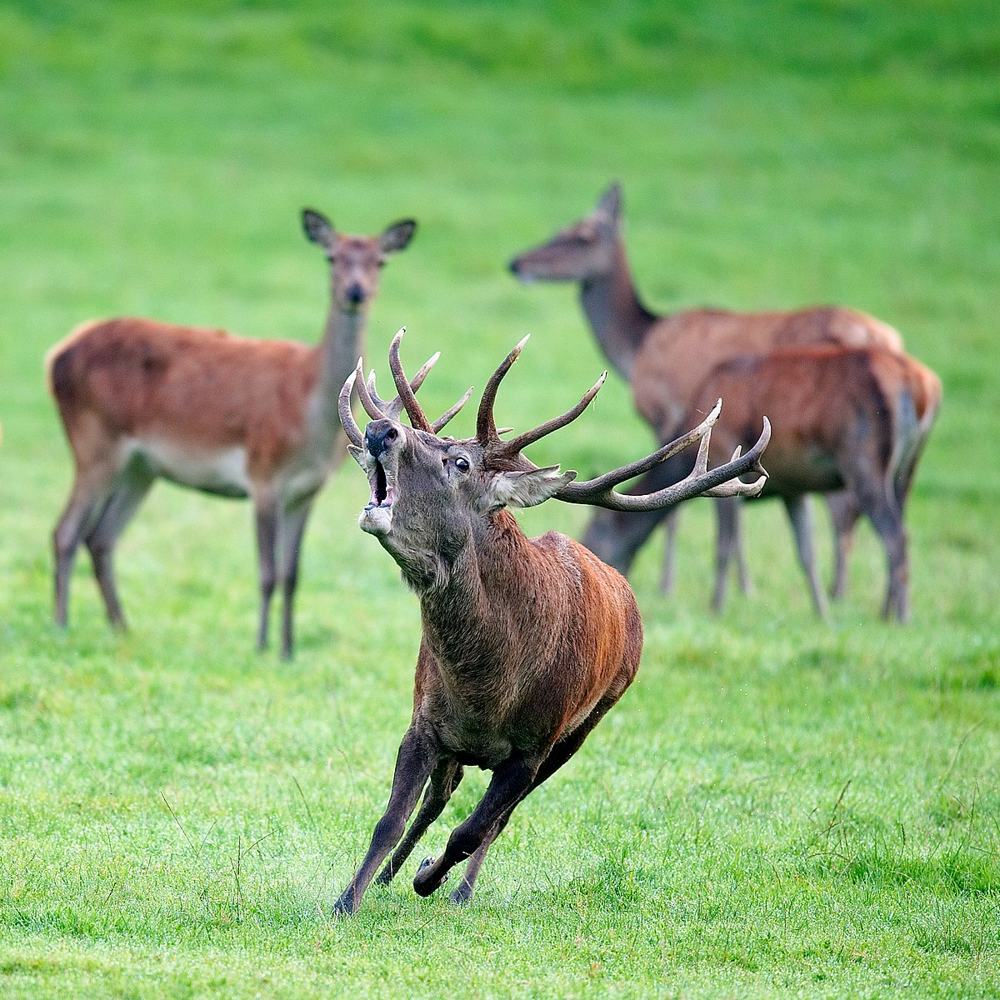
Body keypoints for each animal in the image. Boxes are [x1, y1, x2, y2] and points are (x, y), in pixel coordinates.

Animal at [48, 205, 416, 656]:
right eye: (332, 257)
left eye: (380, 261)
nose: (355, 292)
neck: (310, 420)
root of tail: (57, 354)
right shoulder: (263, 475)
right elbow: (268, 573)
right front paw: (260, 647)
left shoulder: (307, 491)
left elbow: (293, 575)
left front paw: (288, 651)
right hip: (94, 441)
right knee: (65, 532)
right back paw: (62, 625)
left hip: (141, 467)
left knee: (100, 537)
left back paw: (122, 628)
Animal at [332, 328, 768, 916]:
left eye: (459, 463)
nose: (381, 429)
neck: (488, 687)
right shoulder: (425, 721)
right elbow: (390, 819)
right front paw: (348, 899)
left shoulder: (533, 748)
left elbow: (472, 830)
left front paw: (430, 881)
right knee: (440, 797)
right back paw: (390, 877)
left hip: (584, 728)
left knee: (495, 820)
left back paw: (457, 889)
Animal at [512, 184, 912, 612]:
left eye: (581, 235)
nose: (516, 262)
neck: (636, 348)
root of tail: (891, 341)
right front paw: (744, 589)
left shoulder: (667, 414)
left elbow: (685, 516)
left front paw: (680, 588)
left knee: (855, 516)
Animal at [584, 348, 940, 620]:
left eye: (595, 532)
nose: (607, 575)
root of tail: (921, 387)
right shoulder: (794, 491)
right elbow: (806, 553)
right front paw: (822, 614)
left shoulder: (725, 453)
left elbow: (725, 545)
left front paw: (716, 608)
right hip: (907, 469)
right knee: (898, 530)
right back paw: (886, 612)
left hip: (864, 463)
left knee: (896, 536)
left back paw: (901, 618)